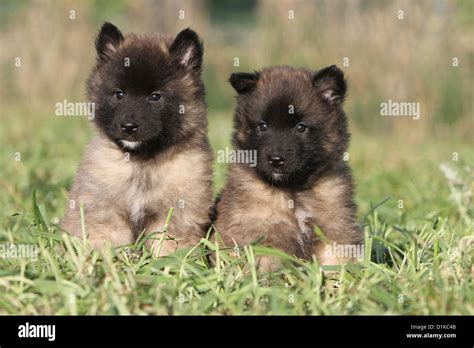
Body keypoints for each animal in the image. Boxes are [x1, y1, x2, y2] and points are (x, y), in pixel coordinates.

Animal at [62, 22, 213, 256]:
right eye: (119, 94)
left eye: (155, 96)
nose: (128, 127)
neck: (142, 162)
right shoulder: (104, 212)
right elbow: (107, 241)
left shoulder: (175, 215)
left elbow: (168, 246)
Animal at [215, 66, 362, 272]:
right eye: (262, 126)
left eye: (301, 127)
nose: (276, 160)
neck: (293, 191)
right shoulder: (262, 236)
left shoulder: (334, 230)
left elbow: (335, 263)